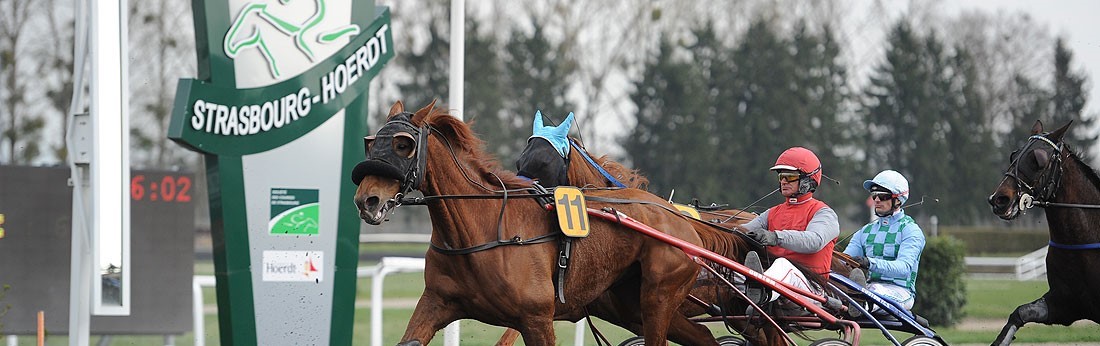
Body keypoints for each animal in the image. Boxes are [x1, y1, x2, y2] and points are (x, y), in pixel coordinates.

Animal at [347, 101, 717, 346]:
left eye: (403, 144)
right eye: (371, 143)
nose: (367, 200)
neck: (479, 231)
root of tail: (680, 219)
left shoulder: (537, 317)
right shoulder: (437, 302)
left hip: (659, 295)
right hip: (630, 304)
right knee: (703, 335)